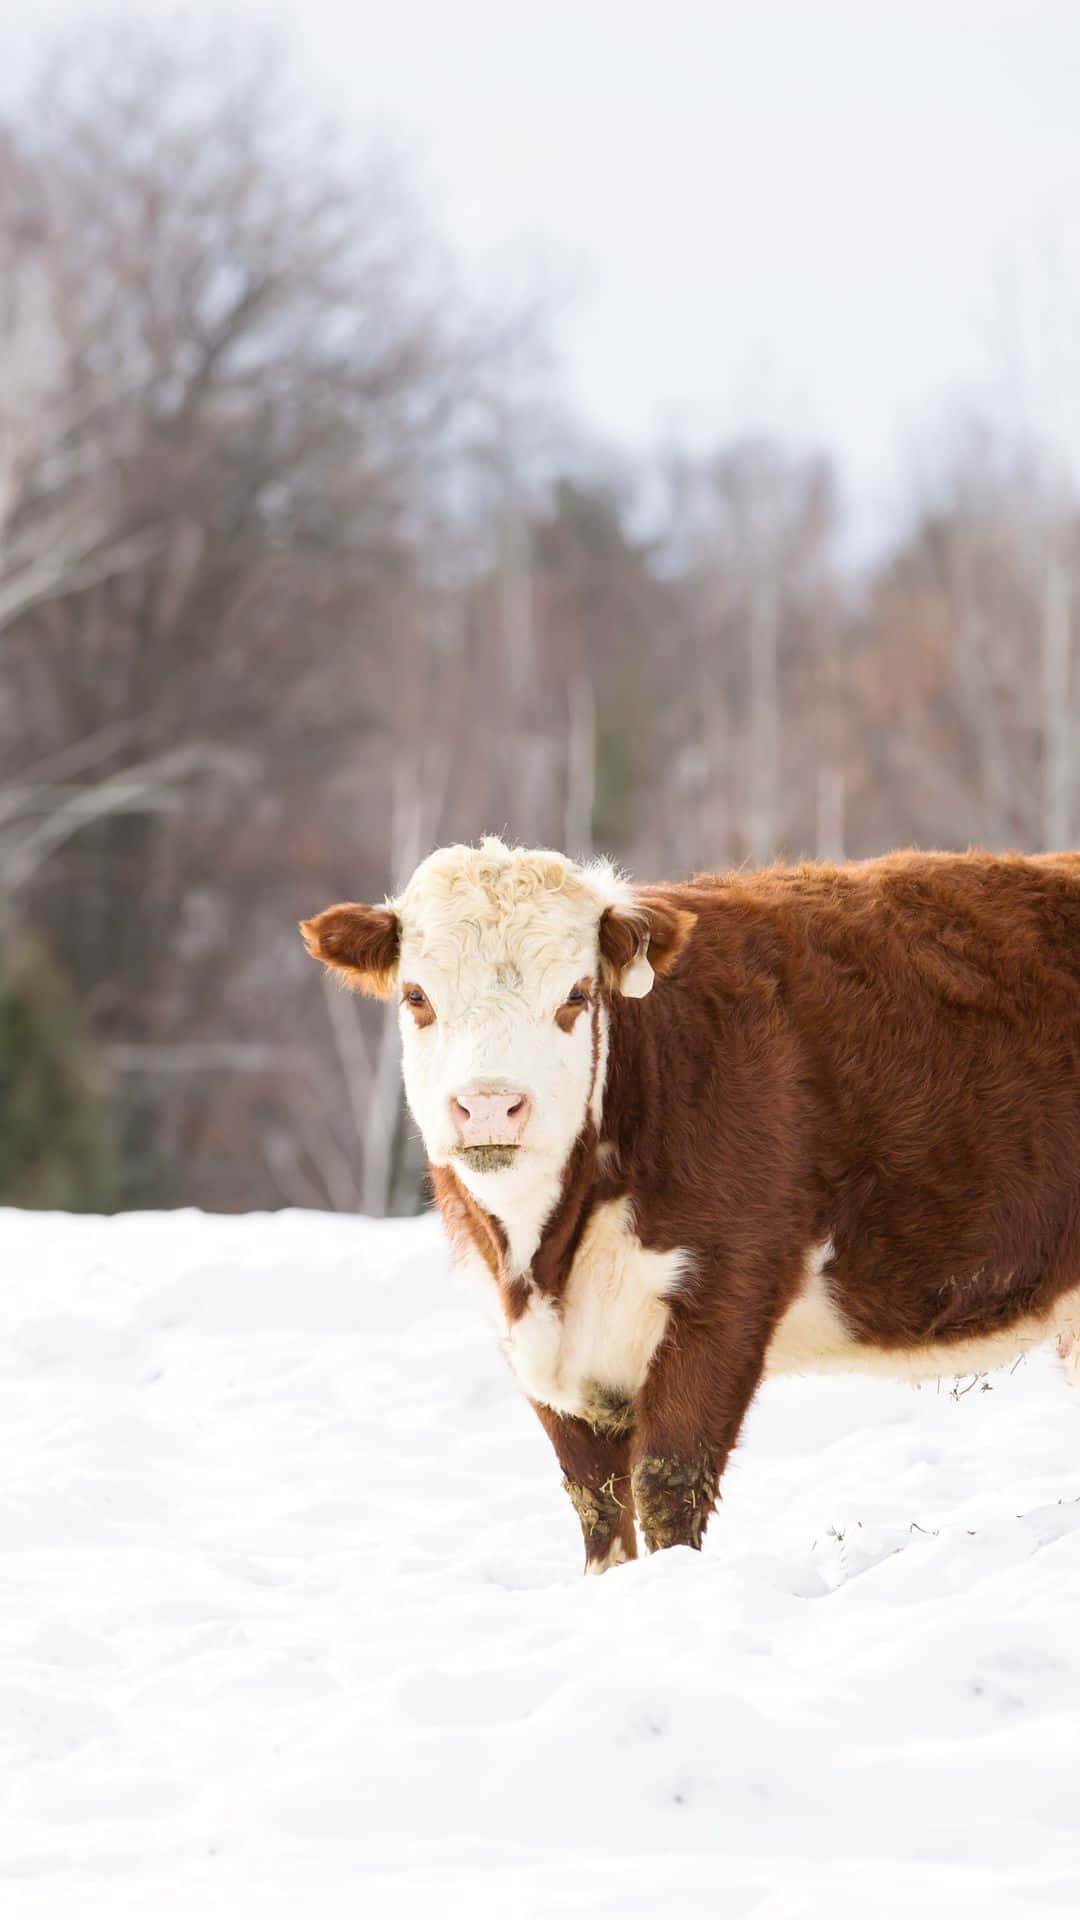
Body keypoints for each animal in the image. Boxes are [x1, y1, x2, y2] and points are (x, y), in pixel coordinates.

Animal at [297, 840, 1076, 1574]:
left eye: (576, 994)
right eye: (416, 996)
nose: (490, 1104)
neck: (541, 1261)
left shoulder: (725, 1293)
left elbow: (668, 1482)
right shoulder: (533, 1345)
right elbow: (596, 1499)